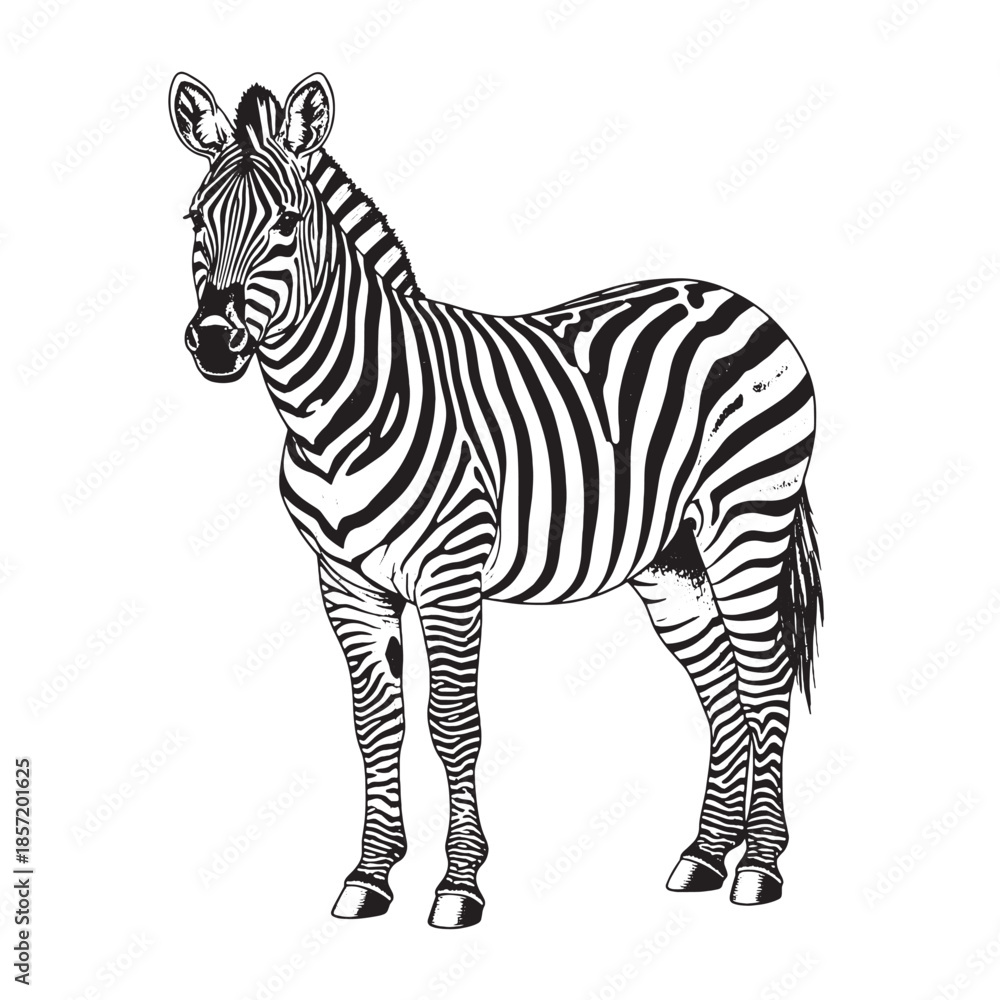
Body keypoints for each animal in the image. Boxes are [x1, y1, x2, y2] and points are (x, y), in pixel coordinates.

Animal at [169, 71, 823, 928]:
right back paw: (705, 857)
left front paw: (458, 883)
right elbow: (375, 726)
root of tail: (735, 299)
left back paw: (761, 866)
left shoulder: (450, 571)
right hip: (670, 560)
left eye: (286, 221)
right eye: (195, 220)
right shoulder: (346, 583)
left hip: (747, 524)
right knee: (719, 689)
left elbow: (452, 722)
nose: (214, 341)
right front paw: (370, 875)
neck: (335, 412)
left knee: (764, 677)